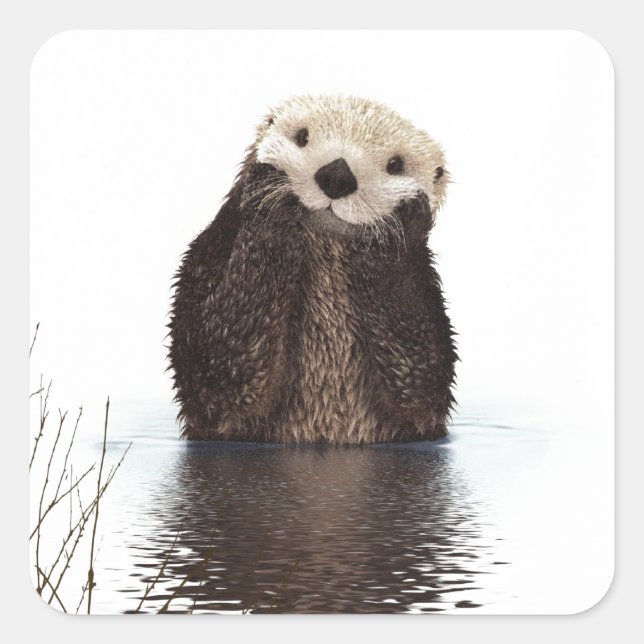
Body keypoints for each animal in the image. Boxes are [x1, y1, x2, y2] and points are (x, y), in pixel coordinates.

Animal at [168, 95, 457, 443]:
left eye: (395, 165)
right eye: (302, 137)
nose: (337, 175)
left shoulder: (426, 298)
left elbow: (421, 381)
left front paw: (397, 225)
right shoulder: (209, 256)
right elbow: (217, 368)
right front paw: (269, 194)